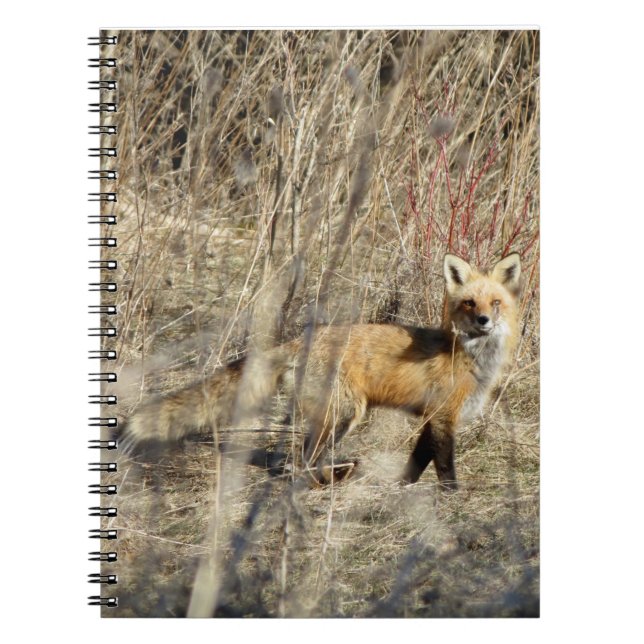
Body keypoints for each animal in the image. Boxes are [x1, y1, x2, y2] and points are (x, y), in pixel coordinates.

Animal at [119, 252, 521, 490]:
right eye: (469, 303)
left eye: (495, 302)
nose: (483, 321)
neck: (470, 358)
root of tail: (301, 339)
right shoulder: (442, 417)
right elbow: (444, 464)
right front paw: (451, 496)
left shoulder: (433, 420)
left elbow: (418, 462)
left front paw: (403, 487)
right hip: (343, 414)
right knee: (301, 462)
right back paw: (327, 480)